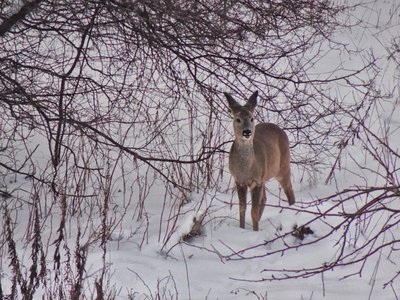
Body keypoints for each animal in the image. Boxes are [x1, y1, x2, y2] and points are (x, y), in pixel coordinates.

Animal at [225, 90, 296, 231]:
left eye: (252, 118)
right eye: (237, 119)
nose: (247, 132)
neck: (246, 169)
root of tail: (280, 130)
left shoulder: (256, 181)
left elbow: (253, 211)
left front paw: (255, 231)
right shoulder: (238, 180)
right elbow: (242, 209)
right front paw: (242, 228)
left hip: (283, 166)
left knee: (290, 192)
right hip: (266, 175)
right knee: (265, 199)